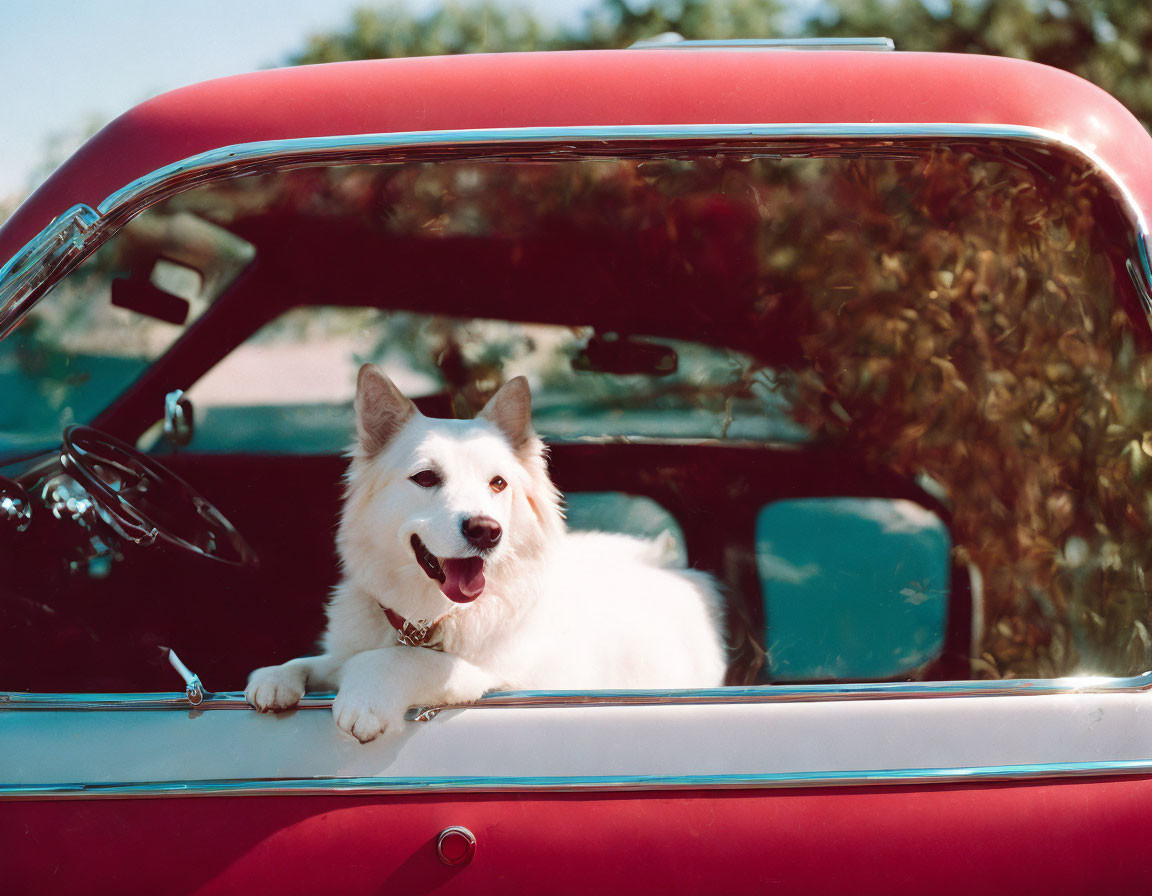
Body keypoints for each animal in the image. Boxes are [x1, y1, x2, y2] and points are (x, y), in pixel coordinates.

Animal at [246, 363, 723, 741]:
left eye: (498, 483)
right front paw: (278, 676)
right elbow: (327, 660)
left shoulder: (508, 677)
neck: (431, 618)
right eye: (425, 478)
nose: (486, 531)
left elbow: (406, 659)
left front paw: (367, 696)